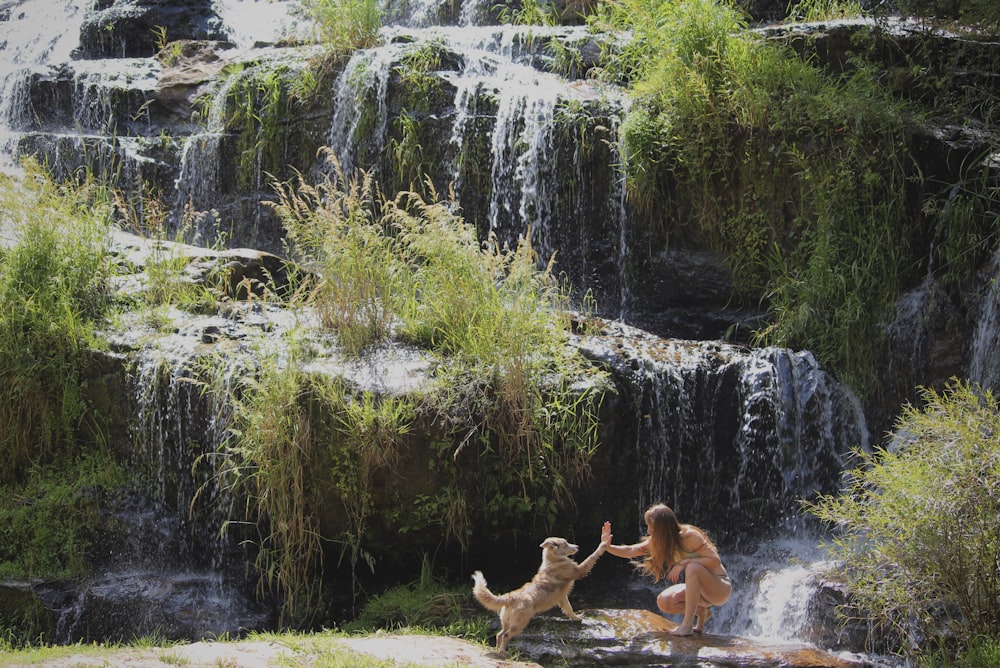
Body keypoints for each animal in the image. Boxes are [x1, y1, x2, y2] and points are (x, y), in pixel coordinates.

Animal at [472, 536, 604, 656]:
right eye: (565, 544)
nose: (577, 546)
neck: (554, 560)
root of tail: (510, 597)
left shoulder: (562, 598)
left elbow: (569, 609)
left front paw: (576, 618)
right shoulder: (579, 570)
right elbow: (592, 557)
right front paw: (603, 544)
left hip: (507, 622)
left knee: (499, 635)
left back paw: (498, 651)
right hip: (519, 624)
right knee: (505, 635)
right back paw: (503, 653)